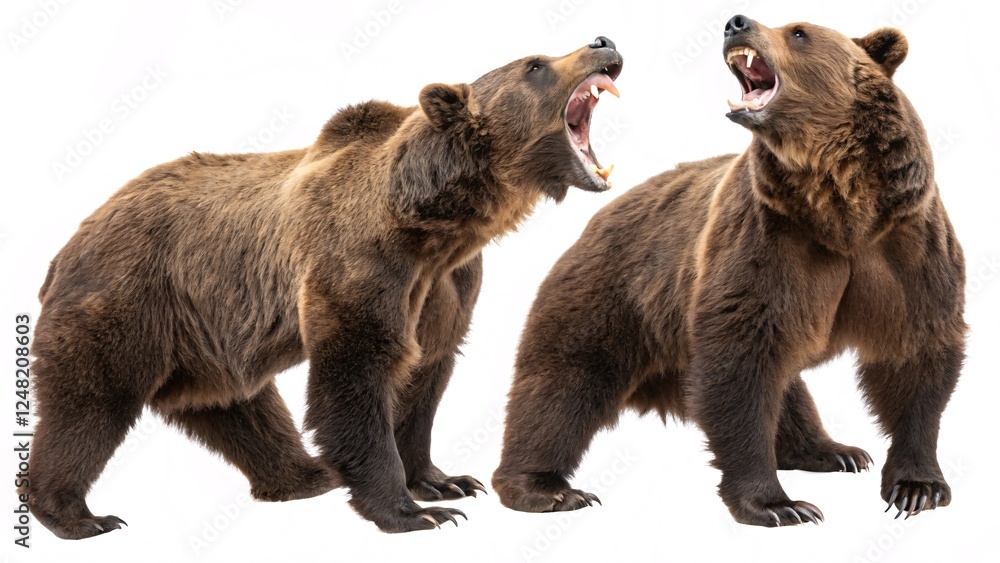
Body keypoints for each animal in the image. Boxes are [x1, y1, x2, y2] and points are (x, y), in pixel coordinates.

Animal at [25, 37, 622, 539]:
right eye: (536, 64)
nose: (603, 42)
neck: (435, 222)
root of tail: (68, 243)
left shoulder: (447, 284)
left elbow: (425, 372)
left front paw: (444, 480)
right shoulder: (361, 259)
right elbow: (357, 372)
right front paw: (413, 511)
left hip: (203, 334)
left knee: (239, 406)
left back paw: (305, 474)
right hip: (129, 290)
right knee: (92, 399)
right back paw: (76, 514)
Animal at [493, 16, 965, 527]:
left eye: (799, 31)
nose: (736, 23)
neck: (840, 207)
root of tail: (598, 216)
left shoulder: (904, 240)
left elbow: (916, 354)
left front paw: (917, 488)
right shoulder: (767, 237)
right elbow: (740, 364)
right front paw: (778, 504)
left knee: (788, 386)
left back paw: (833, 451)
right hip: (610, 292)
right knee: (563, 383)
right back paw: (546, 487)